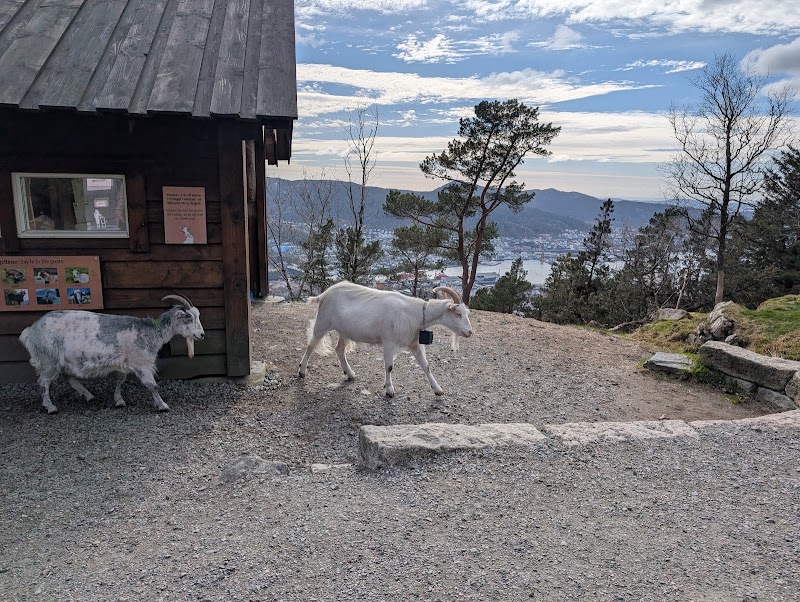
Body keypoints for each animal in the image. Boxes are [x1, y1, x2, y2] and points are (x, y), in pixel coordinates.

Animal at [19, 294, 204, 414]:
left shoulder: (124, 364)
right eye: (188, 318)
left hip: (63, 361)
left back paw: (89, 396)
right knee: (43, 382)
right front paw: (162, 405)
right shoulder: (141, 364)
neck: (151, 332)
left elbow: (120, 380)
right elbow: (152, 385)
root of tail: (31, 330)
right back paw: (50, 407)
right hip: (48, 359)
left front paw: (119, 401)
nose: (201, 335)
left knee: (69, 378)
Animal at [298, 282, 473, 398]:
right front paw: (389, 390)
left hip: (344, 330)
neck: (415, 313)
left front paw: (437, 389)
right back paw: (302, 371)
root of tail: (324, 294)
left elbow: (426, 366)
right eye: (458, 314)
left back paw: (350, 374)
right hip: (323, 322)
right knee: (311, 344)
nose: (469, 332)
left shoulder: (414, 343)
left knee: (339, 349)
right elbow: (389, 366)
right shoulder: (389, 342)